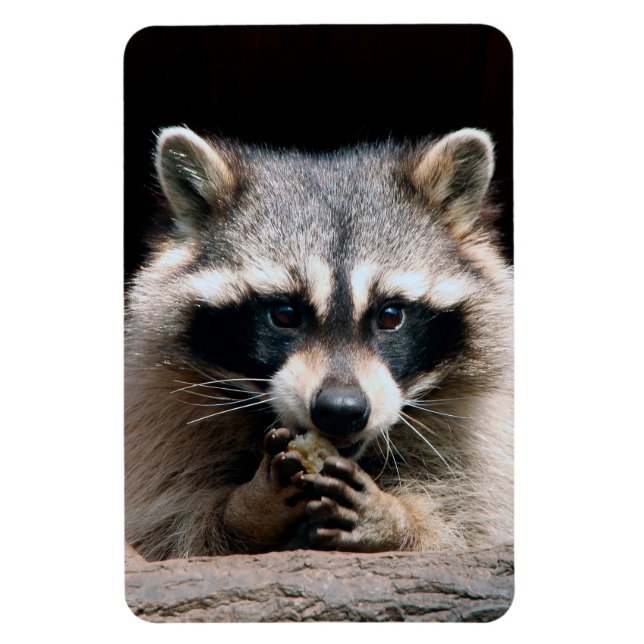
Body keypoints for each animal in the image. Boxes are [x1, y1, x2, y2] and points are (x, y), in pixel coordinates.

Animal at [125, 126, 513, 560]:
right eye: (285, 314)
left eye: (390, 316)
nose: (340, 410)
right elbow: (169, 531)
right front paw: (247, 510)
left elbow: (470, 528)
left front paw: (396, 520)